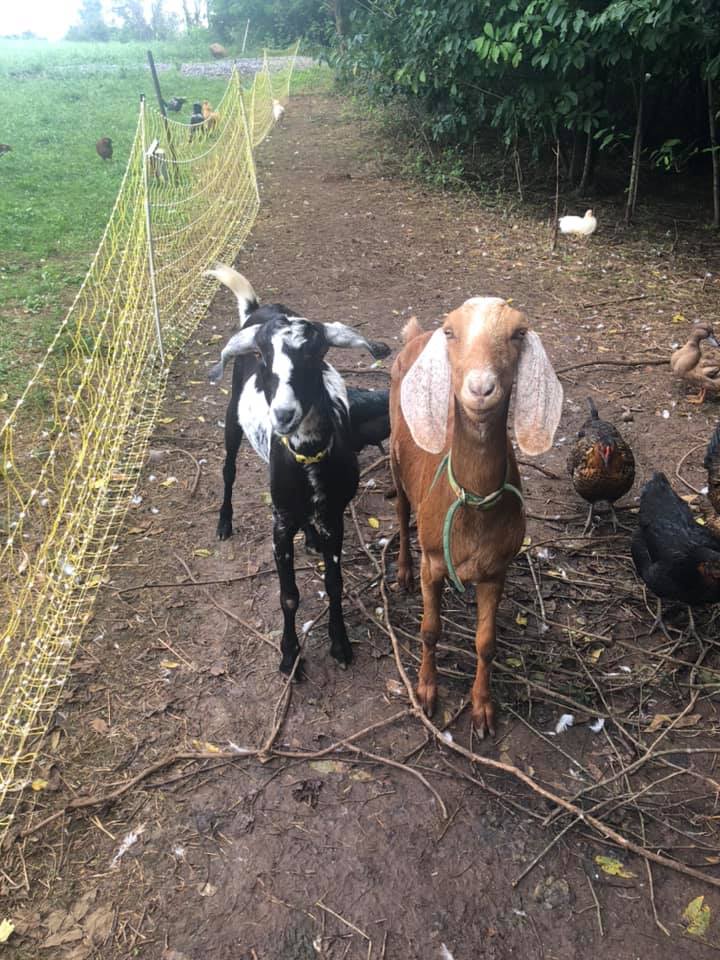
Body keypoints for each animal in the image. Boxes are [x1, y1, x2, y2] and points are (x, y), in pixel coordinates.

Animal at [206, 264, 391, 675]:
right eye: (262, 355)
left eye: (317, 353)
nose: (283, 415)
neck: (307, 456)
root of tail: (261, 308)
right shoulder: (280, 523)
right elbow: (288, 595)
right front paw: (290, 655)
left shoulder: (335, 516)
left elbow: (335, 583)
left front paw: (341, 645)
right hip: (231, 422)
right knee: (228, 471)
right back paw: (224, 522)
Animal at [389, 298, 562, 736]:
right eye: (451, 331)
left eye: (519, 333)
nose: (481, 388)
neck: (473, 501)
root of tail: (417, 335)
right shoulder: (433, 563)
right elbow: (430, 630)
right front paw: (427, 691)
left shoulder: (496, 570)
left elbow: (486, 643)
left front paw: (483, 709)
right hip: (397, 463)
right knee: (401, 510)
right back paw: (401, 571)